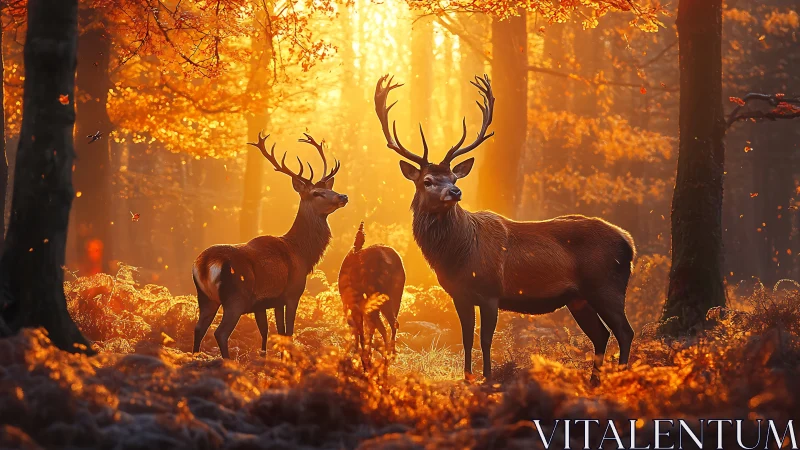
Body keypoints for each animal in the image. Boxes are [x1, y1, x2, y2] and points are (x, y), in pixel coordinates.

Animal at [192, 132, 348, 359]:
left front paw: (267, 358)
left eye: (330, 188)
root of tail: (204, 265)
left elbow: (269, 331)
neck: (302, 253)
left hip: (205, 298)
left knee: (198, 328)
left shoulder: (266, 302)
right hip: (235, 297)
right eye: (316, 193)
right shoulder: (292, 293)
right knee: (220, 333)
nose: (343, 196)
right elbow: (288, 332)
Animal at [338, 221, 405, 370]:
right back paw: (388, 357)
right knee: (392, 324)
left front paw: (362, 361)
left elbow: (360, 331)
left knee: (378, 326)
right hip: (393, 298)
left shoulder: (354, 306)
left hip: (375, 300)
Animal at [373, 74, 636, 383]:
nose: (455, 191)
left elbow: (486, 339)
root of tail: (628, 242)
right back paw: (594, 381)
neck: (459, 254)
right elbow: (466, 337)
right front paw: (467, 376)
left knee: (625, 331)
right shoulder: (459, 294)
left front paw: (488, 377)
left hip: (606, 285)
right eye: (427, 180)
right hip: (578, 298)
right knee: (601, 335)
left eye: (453, 177)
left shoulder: (490, 291)